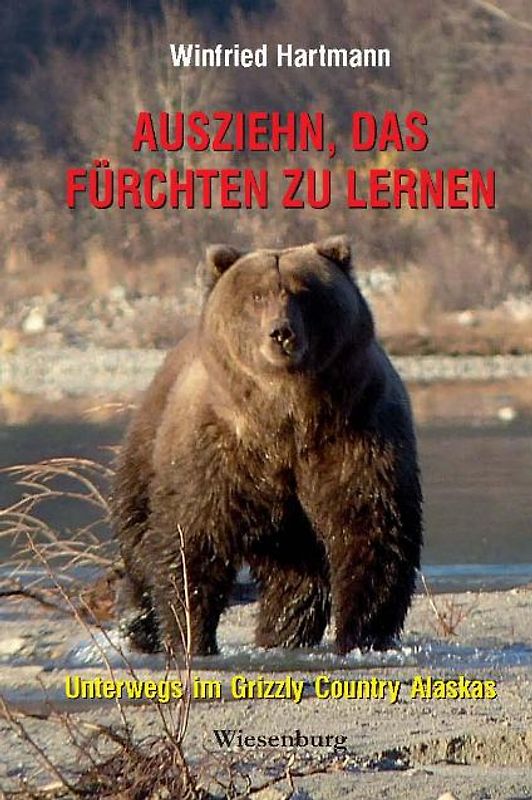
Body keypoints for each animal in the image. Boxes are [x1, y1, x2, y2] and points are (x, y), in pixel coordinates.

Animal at [112, 235, 422, 656]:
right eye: (257, 295)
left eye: (304, 293)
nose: (281, 332)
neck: (287, 412)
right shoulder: (218, 447)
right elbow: (191, 539)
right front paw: (190, 637)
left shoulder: (355, 432)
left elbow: (371, 529)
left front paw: (361, 636)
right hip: (146, 453)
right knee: (139, 539)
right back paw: (139, 625)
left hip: (292, 525)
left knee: (297, 577)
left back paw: (281, 634)